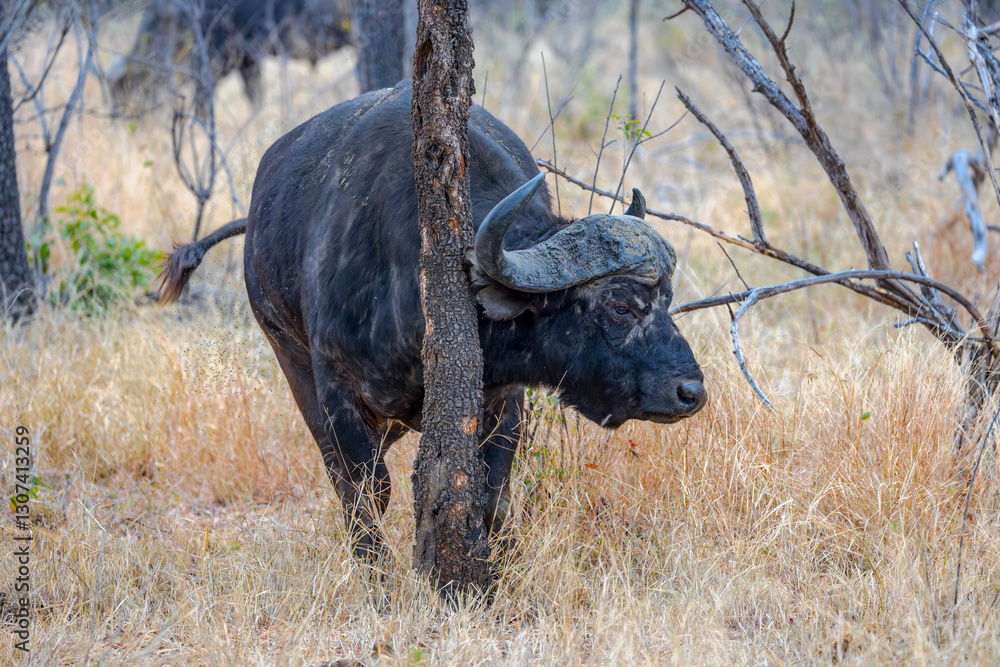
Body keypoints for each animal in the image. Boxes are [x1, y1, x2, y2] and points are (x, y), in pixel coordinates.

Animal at [158, 80, 707, 559]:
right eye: (620, 305)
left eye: (667, 299)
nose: (690, 393)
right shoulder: (334, 390)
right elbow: (365, 494)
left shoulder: (504, 399)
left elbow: (490, 495)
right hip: (289, 358)